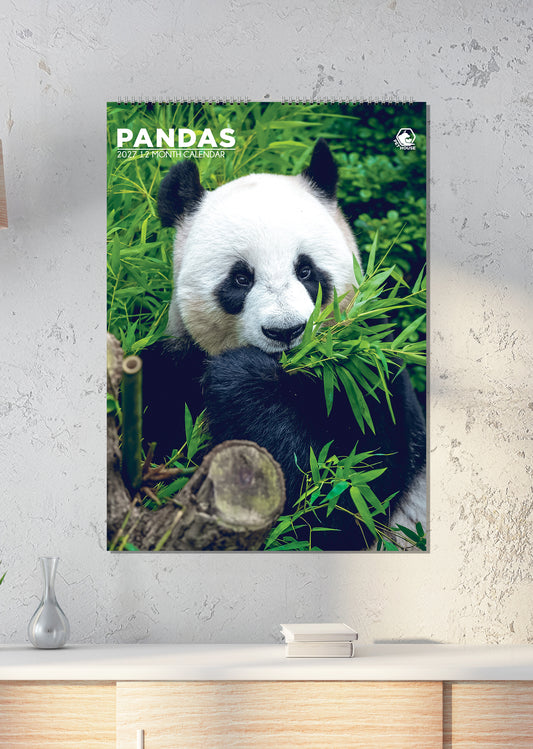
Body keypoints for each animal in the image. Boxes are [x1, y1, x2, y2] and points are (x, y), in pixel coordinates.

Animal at [141, 140, 426, 551]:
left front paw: (240, 379)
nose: (285, 331)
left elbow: (342, 496)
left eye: (306, 270)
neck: (292, 375)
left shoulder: (369, 379)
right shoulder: (172, 373)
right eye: (241, 278)